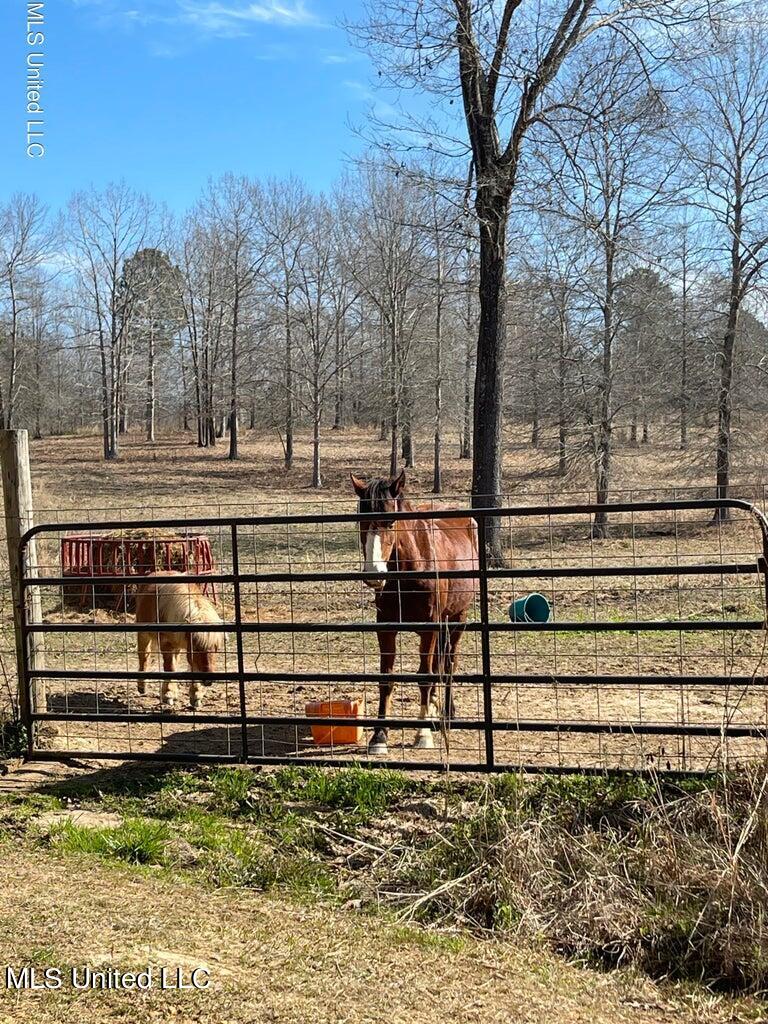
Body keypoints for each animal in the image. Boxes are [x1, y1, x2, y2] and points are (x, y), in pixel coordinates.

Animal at [132, 573, 221, 708]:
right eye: (197, 648)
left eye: (216, 649)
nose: (209, 681)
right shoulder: (166, 644)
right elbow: (170, 667)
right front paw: (168, 694)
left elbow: (190, 667)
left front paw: (196, 696)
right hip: (143, 634)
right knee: (144, 657)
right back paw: (142, 687)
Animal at [352, 468, 479, 753]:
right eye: (361, 522)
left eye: (391, 522)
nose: (374, 574)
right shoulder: (386, 628)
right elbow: (386, 678)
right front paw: (379, 736)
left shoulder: (429, 628)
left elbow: (425, 676)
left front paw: (423, 734)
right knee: (438, 663)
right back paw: (433, 709)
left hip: (457, 619)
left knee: (448, 663)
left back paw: (446, 714)